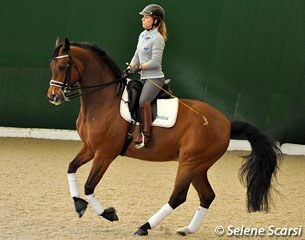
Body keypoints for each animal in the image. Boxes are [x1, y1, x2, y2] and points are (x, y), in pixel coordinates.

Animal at [46, 38, 282, 236]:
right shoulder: (90, 148)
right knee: (207, 196)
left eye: (63, 67)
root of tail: (226, 123)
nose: (53, 96)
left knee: (178, 196)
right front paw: (79, 205)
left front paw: (108, 213)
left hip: (190, 163)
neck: (104, 101)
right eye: (51, 66)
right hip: (198, 167)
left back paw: (144, 227)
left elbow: (89, 186)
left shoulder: (105, 153)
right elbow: (71, 168)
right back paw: (187, 229)